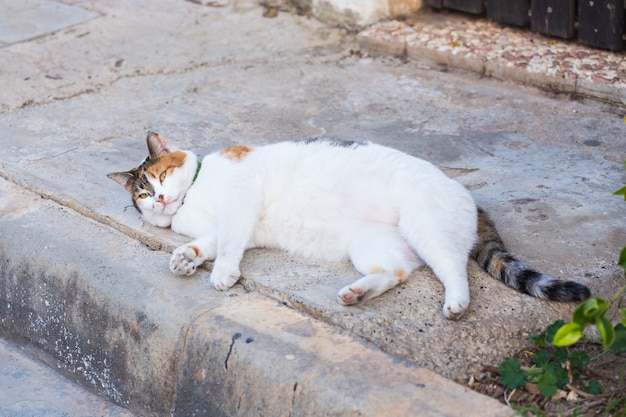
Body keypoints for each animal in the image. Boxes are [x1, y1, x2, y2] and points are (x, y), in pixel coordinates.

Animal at [108, 132, 588, 316]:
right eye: (143, 195)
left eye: (160, 178)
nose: (162, 199)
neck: (194, 197)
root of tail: (469, 196)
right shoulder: (235, 227)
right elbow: (210, 241)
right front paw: (185, 258)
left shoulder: (240, 203)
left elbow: (226, 245)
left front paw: (222, 273)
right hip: (372, 245)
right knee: (394, 273)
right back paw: (357, 293)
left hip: (426, 226)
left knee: (455, 269)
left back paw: (455, 303)